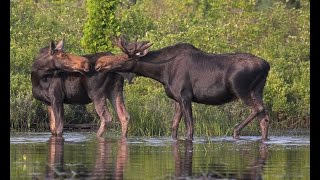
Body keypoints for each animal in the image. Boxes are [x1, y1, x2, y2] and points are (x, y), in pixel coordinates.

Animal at [93, 36, 270, 141]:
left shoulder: (186, 96)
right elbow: (173, 127)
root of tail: (267, 65)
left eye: (124, 58)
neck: (161, 73)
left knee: (259, 109)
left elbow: (190, 128)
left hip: (240, 89)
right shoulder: (177, 99)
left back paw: (236, 131)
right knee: (264, 116)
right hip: (257, 90)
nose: (99, 64)